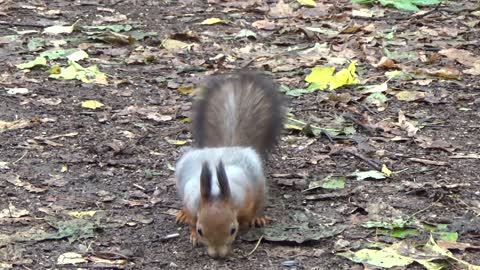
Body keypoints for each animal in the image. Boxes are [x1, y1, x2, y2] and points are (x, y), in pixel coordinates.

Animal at [174, 71, 284, 258]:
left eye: (232, 230)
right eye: (201, 230)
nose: (218, 255)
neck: (216, 192)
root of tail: (228, 147)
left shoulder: (244, 199)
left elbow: (247, 216)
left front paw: (247, 224)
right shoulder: (192, 202)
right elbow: (192, 219)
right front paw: (193, 234)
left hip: (258, 183)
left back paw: (259, 217)